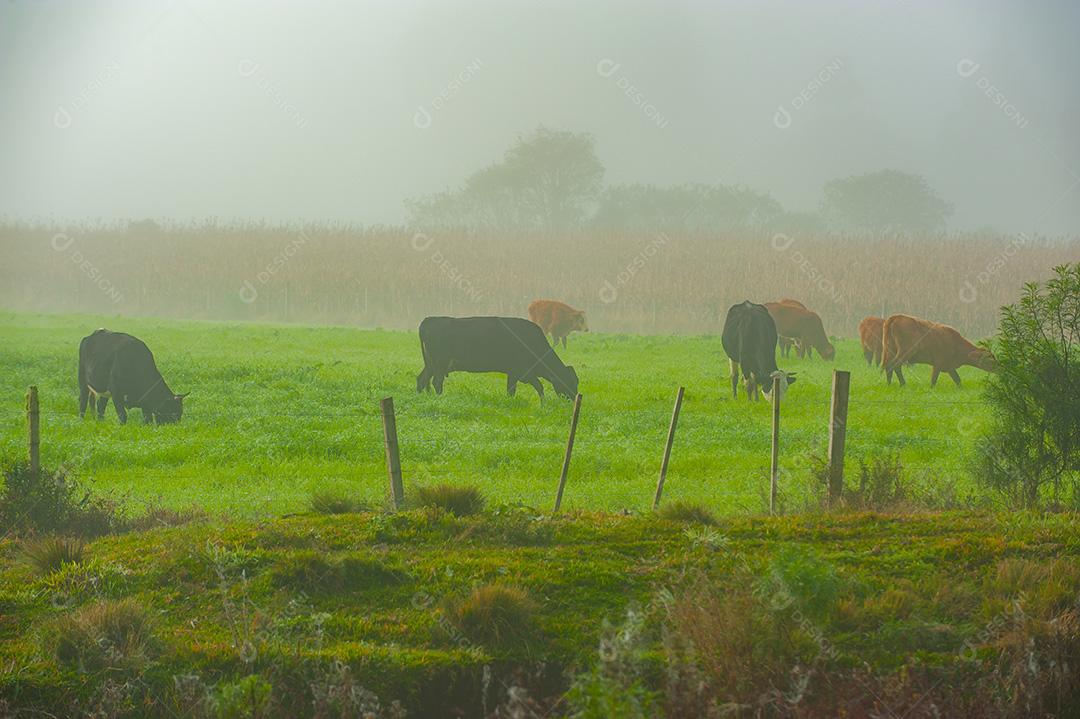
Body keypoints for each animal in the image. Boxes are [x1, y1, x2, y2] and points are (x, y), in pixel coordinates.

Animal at [416, 316, 578, 400]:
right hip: (440, 364)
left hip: (431, 364)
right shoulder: (523, 372)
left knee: (422, 379)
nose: (574, 398)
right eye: (570, 382)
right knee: (436, 382)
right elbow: (539, 386)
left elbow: (511, 390)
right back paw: (440, 398)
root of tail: (428, 320)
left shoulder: (513, 373)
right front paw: (543, 403)